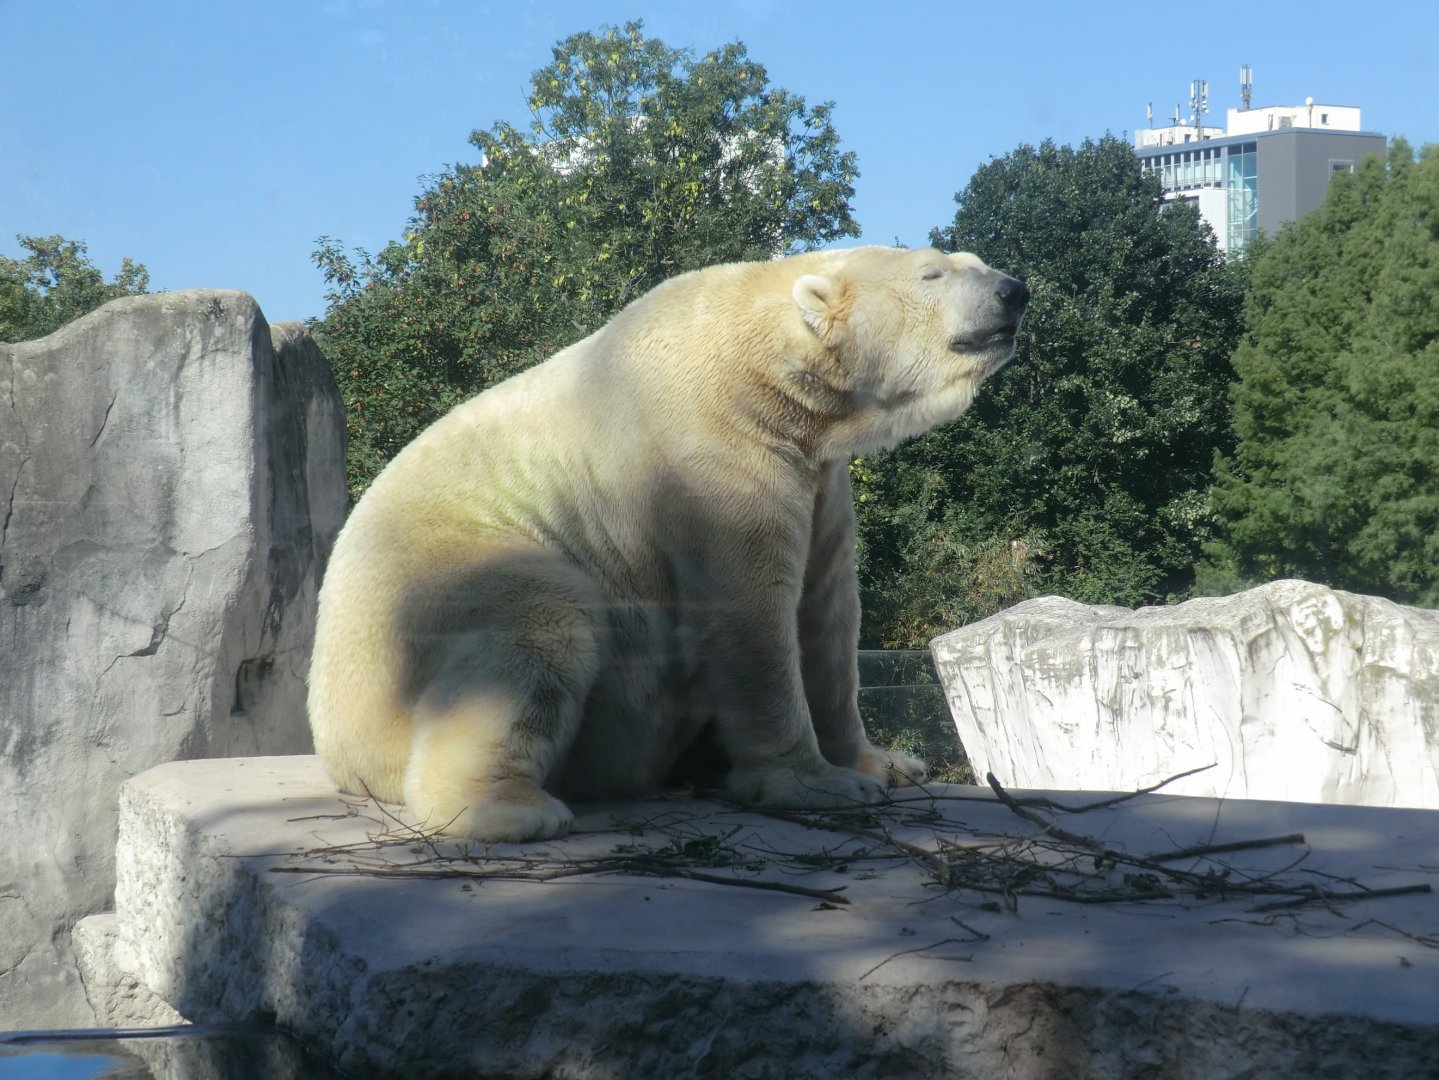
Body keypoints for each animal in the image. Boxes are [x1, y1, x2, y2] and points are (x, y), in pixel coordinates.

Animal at [308, 245, 1028, 841]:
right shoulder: (712, 456)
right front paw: (818, 784)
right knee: (539, 618)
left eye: (969, 259)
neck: (758, 368)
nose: (1014, 290)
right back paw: (511, 810)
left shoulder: (818, 472)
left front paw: (886, 764)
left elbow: (826, 614)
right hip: (433, 594)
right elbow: (751, 614)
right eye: (933, 273)